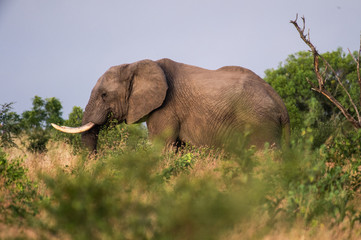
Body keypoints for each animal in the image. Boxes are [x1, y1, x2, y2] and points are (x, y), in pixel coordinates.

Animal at [52, 58, 290, 151]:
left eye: (103, 95)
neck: (136, 64)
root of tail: (281, 104)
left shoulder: (166, 109)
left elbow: (162, 148)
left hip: (261, 123)